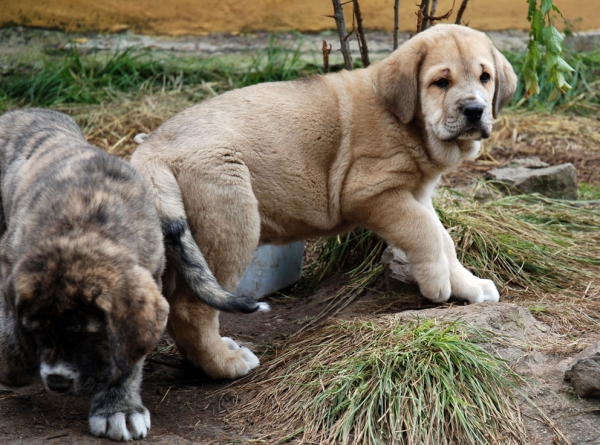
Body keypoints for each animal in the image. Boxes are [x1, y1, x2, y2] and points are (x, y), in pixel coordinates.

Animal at [131, 24, 516, 378]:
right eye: (441, 82)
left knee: (173, 305)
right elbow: (426, 232)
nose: (475, 110)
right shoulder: (371, 192)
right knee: (190, 308)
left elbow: (443, 238)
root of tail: (151, 148)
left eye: (484, 77)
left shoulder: (416, 195)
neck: (408, 123)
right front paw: (438, 284)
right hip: (232, 222)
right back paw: (223, 364)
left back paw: (203, 358)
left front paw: (467, 285)